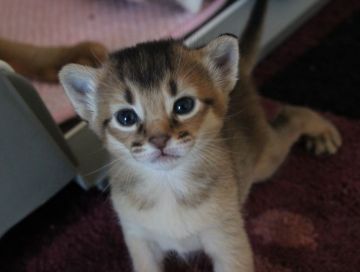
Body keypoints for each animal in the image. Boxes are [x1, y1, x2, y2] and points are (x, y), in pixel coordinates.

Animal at [58, 1, 340, 270]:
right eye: (126, 118)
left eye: (184, 105)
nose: (159, 141)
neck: (168, 186)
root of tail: (238, 80)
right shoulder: (138, 240)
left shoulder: (229, 241)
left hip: (265, 160)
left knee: (291, 115)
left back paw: (323, 131)